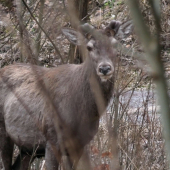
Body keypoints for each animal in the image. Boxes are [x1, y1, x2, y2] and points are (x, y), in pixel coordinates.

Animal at [0, 20, 133, 169]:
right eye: (89, 47)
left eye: (115, 44)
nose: (104, 68)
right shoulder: (52, 138)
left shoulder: (79, 144)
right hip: (3, 130)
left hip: (27, 147)